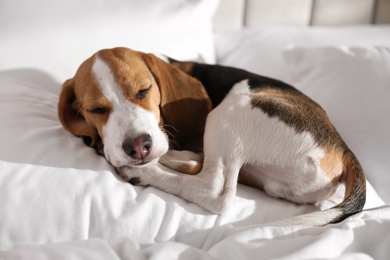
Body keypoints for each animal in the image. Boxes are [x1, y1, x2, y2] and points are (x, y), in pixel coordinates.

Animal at [58, 46, 366, 225]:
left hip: (233, 107)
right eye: (95, 109)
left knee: (214, 189)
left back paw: (148, 171)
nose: (139, 147)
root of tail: (343, 148)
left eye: (144, 91)